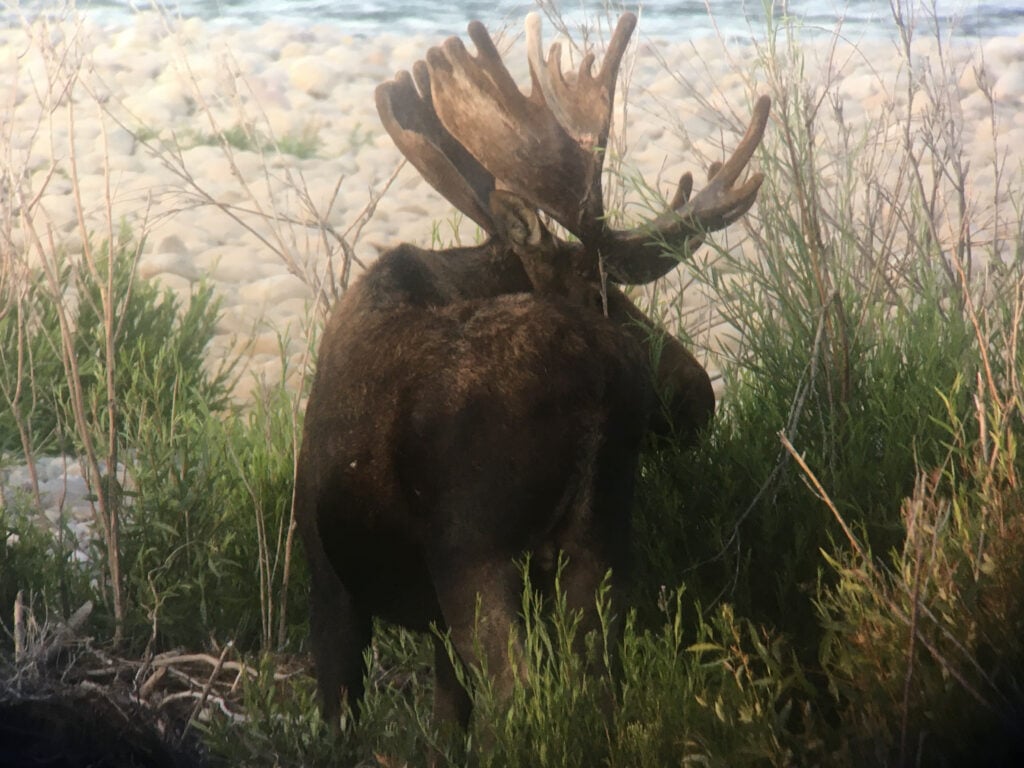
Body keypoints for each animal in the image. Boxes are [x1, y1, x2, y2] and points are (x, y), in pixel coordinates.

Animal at [294, 11, 770, 731]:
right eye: (603, 291)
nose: (699, 395)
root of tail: (595, 387)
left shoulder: (330, 585)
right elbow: (448, 719)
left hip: (474, 553)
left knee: (516, 694)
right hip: (596, 540)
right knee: (595, 681)